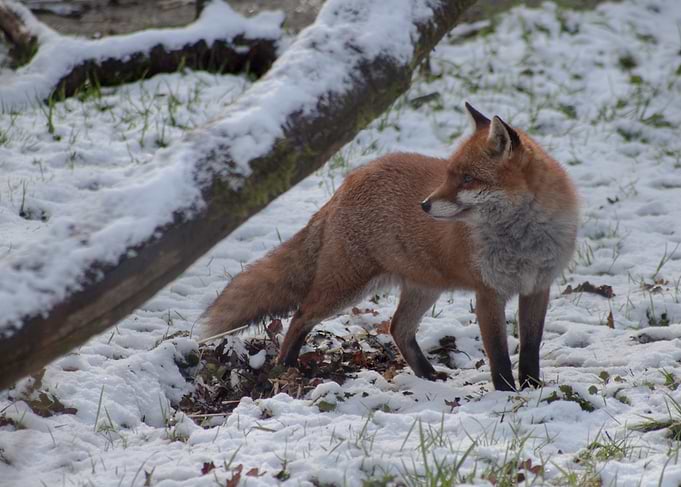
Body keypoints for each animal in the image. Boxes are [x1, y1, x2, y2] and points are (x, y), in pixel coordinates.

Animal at [202, 103, 578, 391]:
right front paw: (506, 394)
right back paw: (286, 366)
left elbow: (530, 346)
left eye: (468, 179)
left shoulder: (538, 288)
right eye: (449, 174)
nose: (424, 205)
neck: (523, 242)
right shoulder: (488, 293)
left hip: (423, 287)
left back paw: (427, 376)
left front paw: (532, 387)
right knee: (300, 315)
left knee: (398, 328)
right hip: (346, 287)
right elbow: (498, 354)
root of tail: (350, 180)